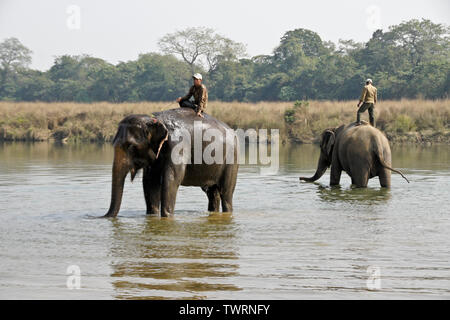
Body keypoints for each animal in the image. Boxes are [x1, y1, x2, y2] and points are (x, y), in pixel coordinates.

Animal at [104, 108, 239, 218]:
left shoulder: (178, 146)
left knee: (226, 194)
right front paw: (152, 215)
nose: (103, 216)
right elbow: (149, 181)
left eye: (131, 146)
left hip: (231, 160)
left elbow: (172, 179)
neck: (154, 119)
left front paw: (167, 216)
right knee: (212, 193)